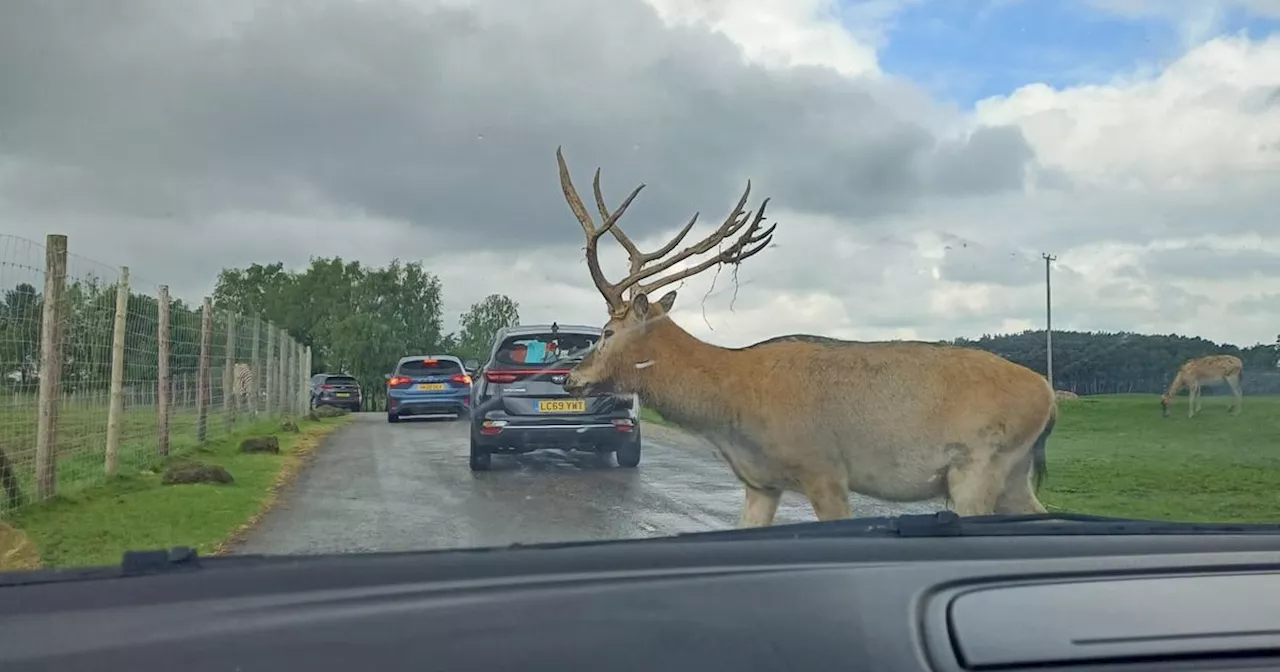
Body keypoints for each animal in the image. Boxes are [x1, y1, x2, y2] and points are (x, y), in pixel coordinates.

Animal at [555, 149, 1054, 527]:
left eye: (607, 331)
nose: (570, 379)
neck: (733, 404)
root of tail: (1049, 397)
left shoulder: (825, 469)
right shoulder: (760, 483)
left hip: (979, 462)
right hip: (1012, 473)